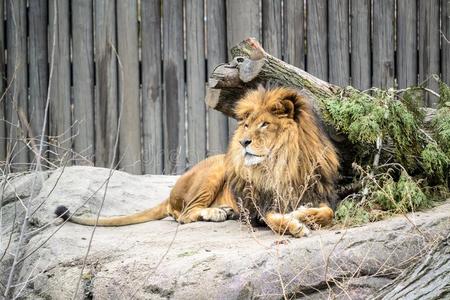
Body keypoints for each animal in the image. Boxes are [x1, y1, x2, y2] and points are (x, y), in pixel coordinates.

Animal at [54, 85, 340, 238]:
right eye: (247, 125)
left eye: (264, 124)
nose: (243, 142)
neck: (281, 164)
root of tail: (170, 193)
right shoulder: (257, 209)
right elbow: (274, 220)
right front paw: (296, 225)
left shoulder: (320, 194)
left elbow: (327, 213)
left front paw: (304, 214)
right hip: (215, 170)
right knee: (182, 214)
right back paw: (215, 212)